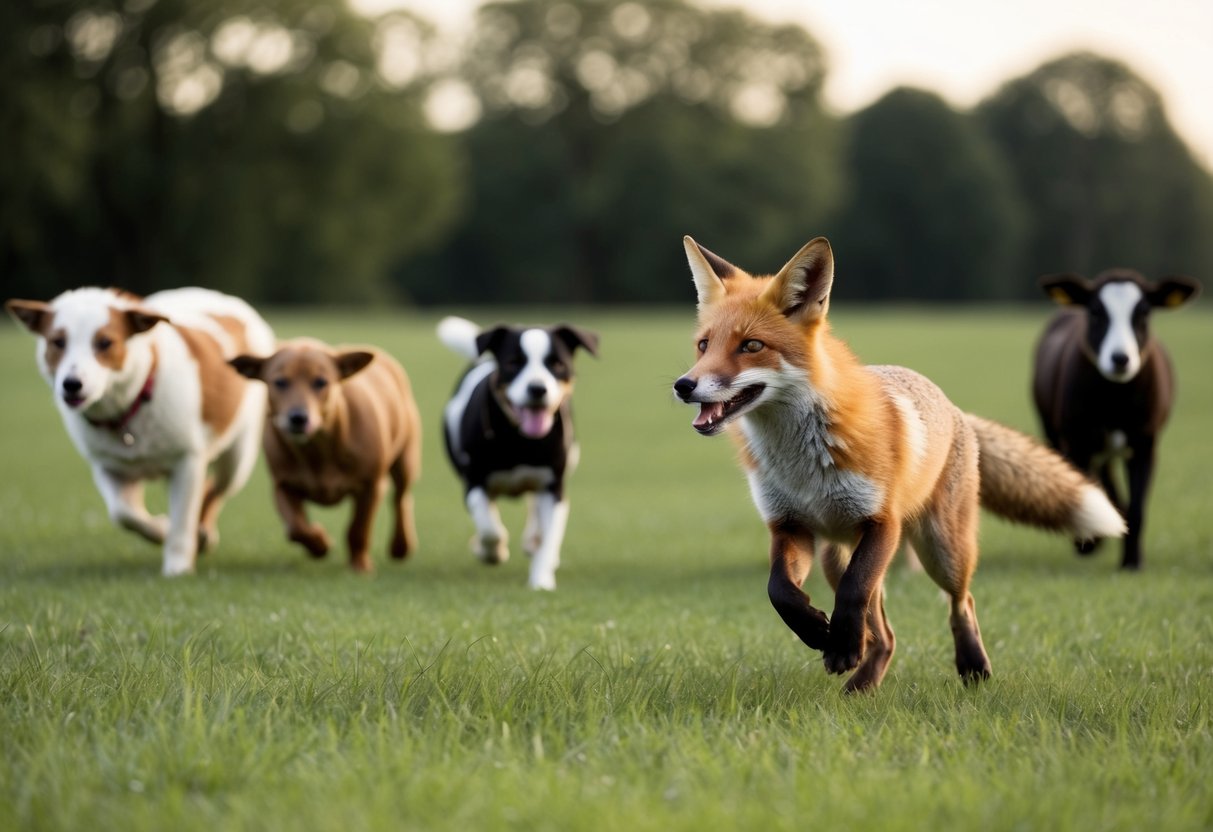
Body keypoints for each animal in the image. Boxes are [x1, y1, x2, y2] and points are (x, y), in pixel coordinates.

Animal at [673, 236, 1126, 692]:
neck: (801, 465)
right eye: (703, 345)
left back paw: (971, 666)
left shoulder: (882, 522)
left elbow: (853, 591)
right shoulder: (789, 526)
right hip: (836, 556)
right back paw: (860, 685)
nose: (683, 385)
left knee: (960, 601)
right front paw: (818, 631)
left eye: (751, 346)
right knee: (885, 637)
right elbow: (779, 591)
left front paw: (840, 646)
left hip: (941, 550)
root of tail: (954, 408)